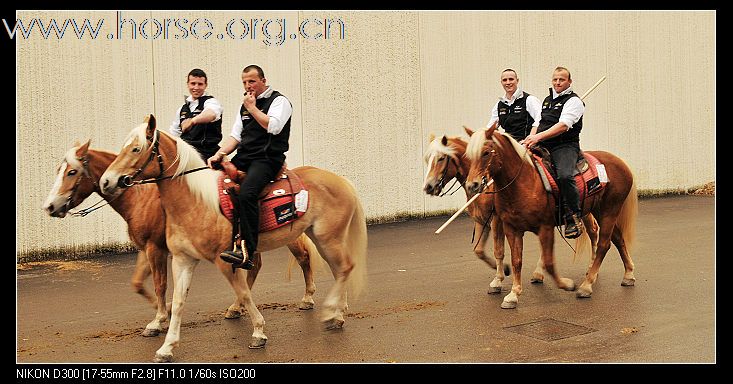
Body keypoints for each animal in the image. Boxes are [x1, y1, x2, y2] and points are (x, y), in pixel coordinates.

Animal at [43, 140, 322, 336]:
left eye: (71, 172)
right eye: (58, 170)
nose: (50, 206)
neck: (142, 199)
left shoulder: (155, 250)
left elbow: (160, 284)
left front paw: (159, 320)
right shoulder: (146, 249)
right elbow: (138, 283)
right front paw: (163, 312)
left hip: (289, 234)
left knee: (303, 258)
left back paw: (308, 298)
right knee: (253, 268)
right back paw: (236, 308)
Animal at [98, 115, 366, 362]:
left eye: (136, 149)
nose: (106, 181)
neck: (195, 201)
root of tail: (342, 181)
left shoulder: (224, 260)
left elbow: (244, 292)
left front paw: (258, 332)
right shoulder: (182, 260)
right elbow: (179, 301)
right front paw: (166, 347)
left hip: (328, 238)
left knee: (344, 267)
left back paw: (331, 312)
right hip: (321, 238)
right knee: (339, 269)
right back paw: (337, 313)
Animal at [424, 132, 596, 294]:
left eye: (441, 158)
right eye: (427, 159)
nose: (428, 187)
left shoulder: (496, 220)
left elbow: (498, 250)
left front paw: (499, 278)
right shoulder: (481, 221)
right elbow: (479, 251)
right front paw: (504, 271)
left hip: (585, 211)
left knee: (593, 231)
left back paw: (591, 271)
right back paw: (539, 274)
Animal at [466, 127, 636, 308]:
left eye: (485, 153)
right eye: (468, 155)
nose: (472, 185)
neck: (524, 182)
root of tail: (621, 163)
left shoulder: (545, 227)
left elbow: (548, 262)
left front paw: (566, 284)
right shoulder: (512, 229)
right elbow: (516, 260)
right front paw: (513, 294)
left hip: (610, 210)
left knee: (604, 244)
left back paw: (586, 285)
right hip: (601, 211)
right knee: (618, 239)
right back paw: (628, 275)